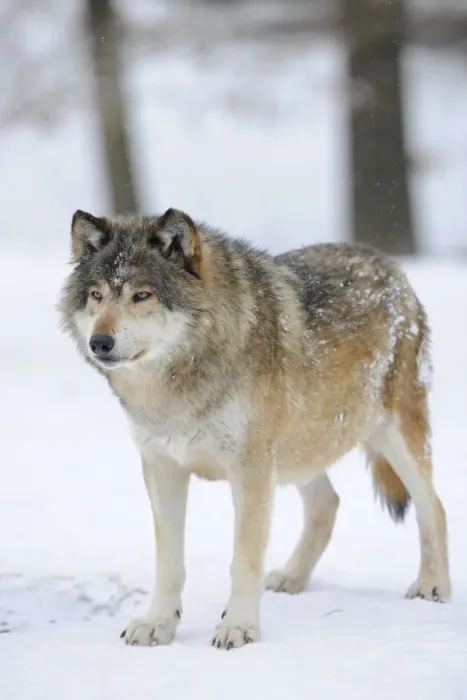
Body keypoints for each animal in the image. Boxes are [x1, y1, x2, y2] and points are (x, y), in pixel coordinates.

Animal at [59, 207, 451, 649]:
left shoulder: (250, 470)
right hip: (296, 454)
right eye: (96, 296)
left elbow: (243, 559)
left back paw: (433, 585)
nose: (100, 342)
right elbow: (169, 562)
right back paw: (292, 578)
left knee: (434, 506)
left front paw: (238, 626)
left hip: (392, 437)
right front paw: (158, 623)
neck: (178, 385)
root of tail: (387, 263)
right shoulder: (162, 468)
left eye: (141, 295)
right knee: (327, 504)